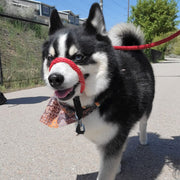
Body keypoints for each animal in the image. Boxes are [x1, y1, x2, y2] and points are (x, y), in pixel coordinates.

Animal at [42, 3, 155, 180]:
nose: (54, 78)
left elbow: (106, 170)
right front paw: (117, 166)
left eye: (78, 57)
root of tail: (134, 49)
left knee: (143, 123)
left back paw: (143, 139)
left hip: (146, 106)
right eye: (50, 57)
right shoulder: (108, 139)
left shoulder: (113, 139)